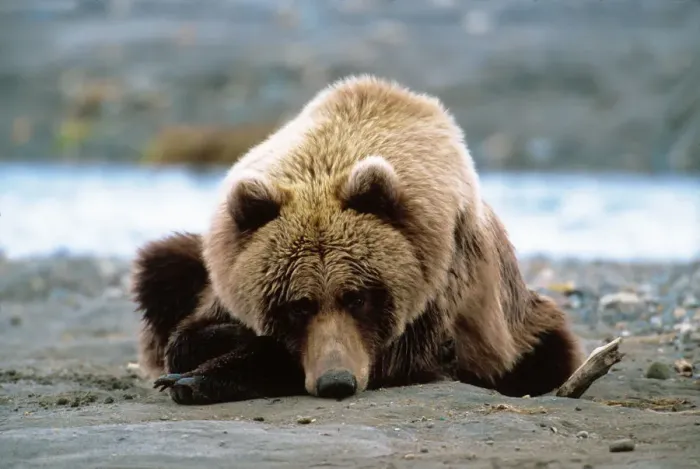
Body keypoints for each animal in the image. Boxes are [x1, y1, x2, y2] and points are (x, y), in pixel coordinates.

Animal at [131, 75, 585, 405]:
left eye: (359, 296)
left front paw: (199, 379)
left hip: (518, 328)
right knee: (163, 264)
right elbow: (188, 335)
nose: (337, 381)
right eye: (297, 305)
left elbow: (401, 356)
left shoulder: (437, 288)